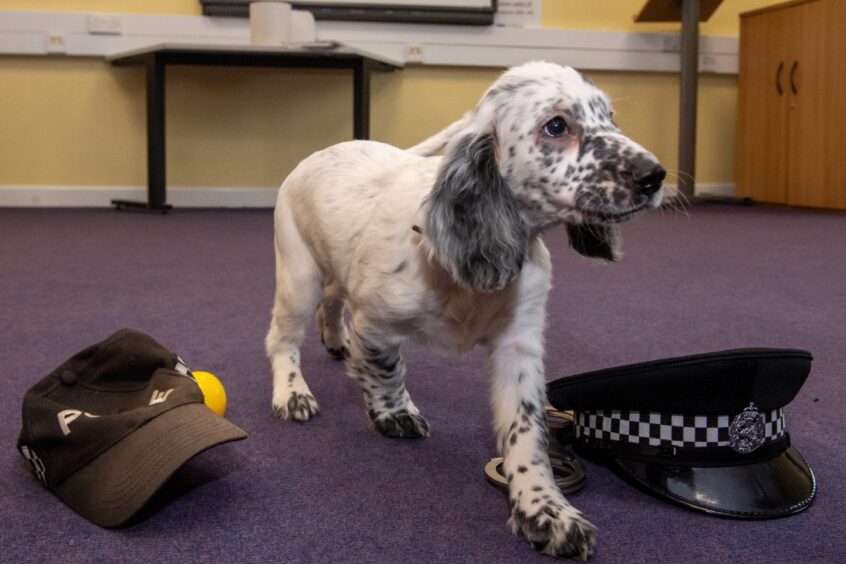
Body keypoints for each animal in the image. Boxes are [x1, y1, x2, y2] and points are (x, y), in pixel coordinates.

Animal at [268, 61, 664, 560]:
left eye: (609, 117)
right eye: (556, 126)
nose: (656, 176)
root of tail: (321, 152)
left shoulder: (519, 345)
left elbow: (526, 429)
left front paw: (544, 510)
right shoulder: (376, 323)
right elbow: (386, 369)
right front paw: (393, 414)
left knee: (333, 299)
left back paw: (334, 340)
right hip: (298, 275)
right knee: (282, 338)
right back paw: (291, 392)